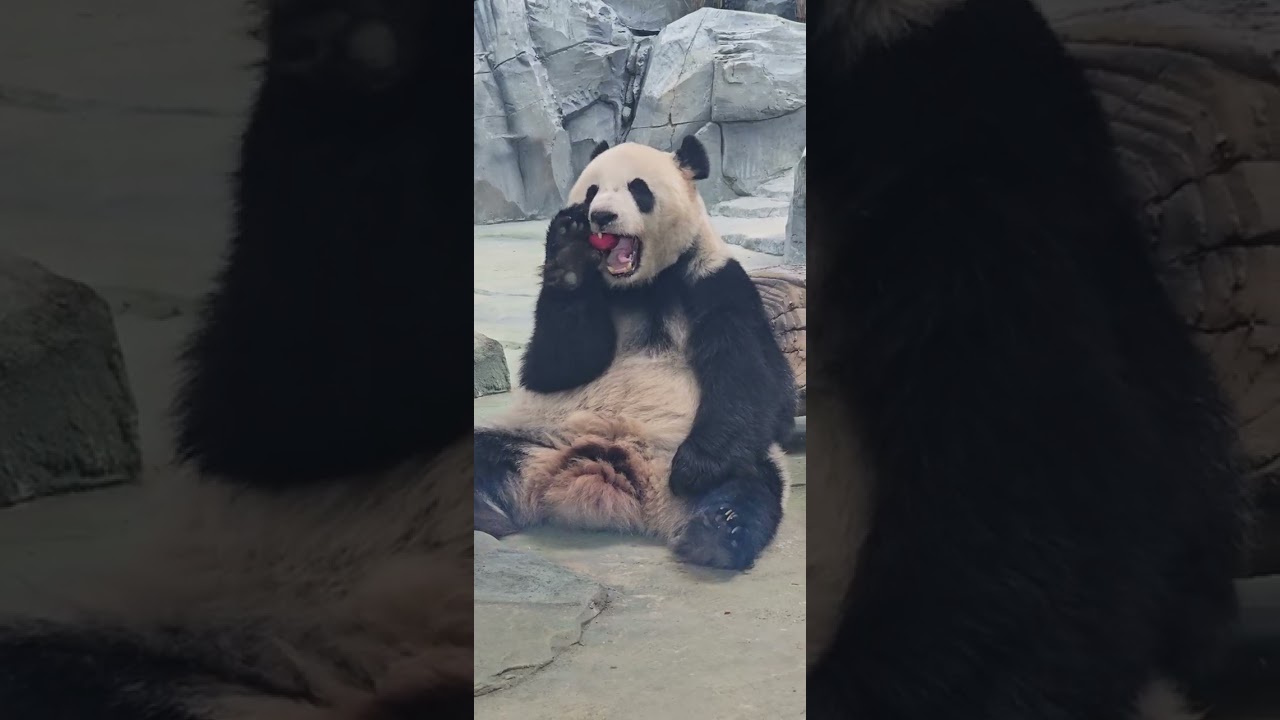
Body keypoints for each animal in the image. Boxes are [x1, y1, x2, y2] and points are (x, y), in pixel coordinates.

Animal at [474, 137, 798, 571]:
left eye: (637, 188)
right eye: (592, 191)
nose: (601, 217)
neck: (640, 287)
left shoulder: (715, 282)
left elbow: (750, 377)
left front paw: (695, 469)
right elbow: (557, 366)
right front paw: (570, 251)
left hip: (707, 457)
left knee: (748, 482)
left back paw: (717, 531)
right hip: (536, 436)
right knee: (479, 453)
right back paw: (484, 513)